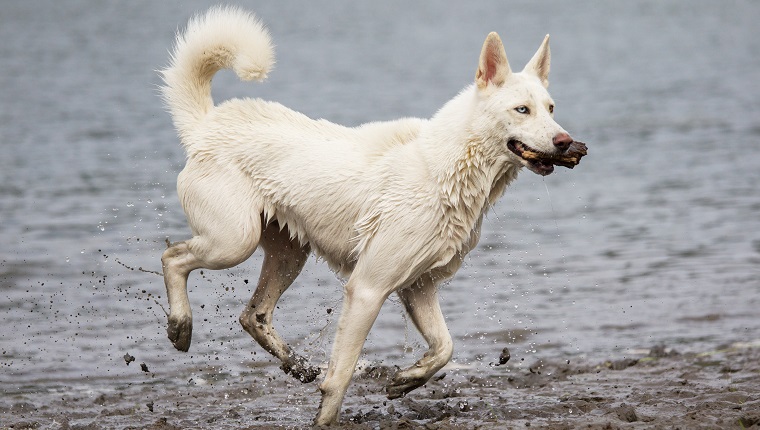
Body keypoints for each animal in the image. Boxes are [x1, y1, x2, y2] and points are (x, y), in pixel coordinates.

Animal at [159, 6, 588, 426]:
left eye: (551, 108)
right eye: (521, 109)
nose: (565, 141)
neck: (446, 167)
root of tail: (205, 126)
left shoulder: (418, 286)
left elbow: (445, 347)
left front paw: (406, 380)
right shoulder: (367, 288)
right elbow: (342, 374)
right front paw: (326, 419)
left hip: (289, 253)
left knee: (254, 315)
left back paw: (297, 365)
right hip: (234, 241)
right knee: (173, 257)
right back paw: (180, 325)